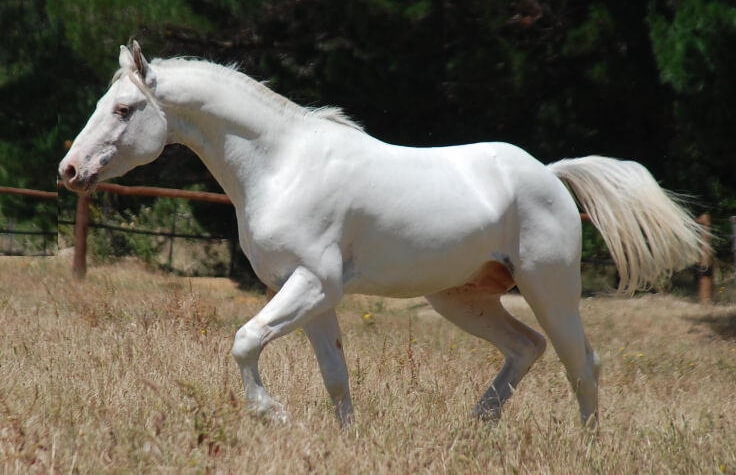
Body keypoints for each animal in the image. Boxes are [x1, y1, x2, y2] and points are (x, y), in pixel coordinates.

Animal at [57, 41, 700, 428]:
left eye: (123, 109)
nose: (69, 171)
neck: (282, 165)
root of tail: (550, 173)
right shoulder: (312, 295)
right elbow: (335, 376)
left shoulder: (315, 284)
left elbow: (244, 341)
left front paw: (273, 415)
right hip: (461, 298)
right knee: (526, 348)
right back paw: (477, 425)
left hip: (550, 288)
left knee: (581, 362)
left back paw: (582, 443)